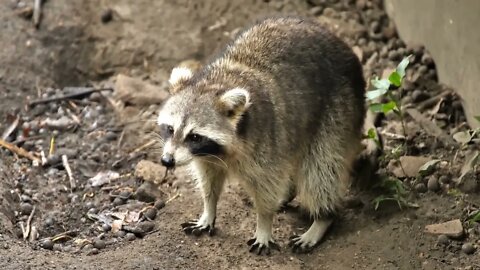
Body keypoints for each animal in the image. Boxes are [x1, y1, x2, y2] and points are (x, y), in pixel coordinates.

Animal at [156, 15, 366, 254]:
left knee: (321, 169)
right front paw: (208, 210)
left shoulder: (266, 140)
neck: (217, 82)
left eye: (194, 136)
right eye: (170, 129)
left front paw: (264, 225)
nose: (167, 161)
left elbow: (269, 185)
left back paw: (323, 218)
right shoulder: (206, 157)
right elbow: (209, 181)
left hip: (338, 113)